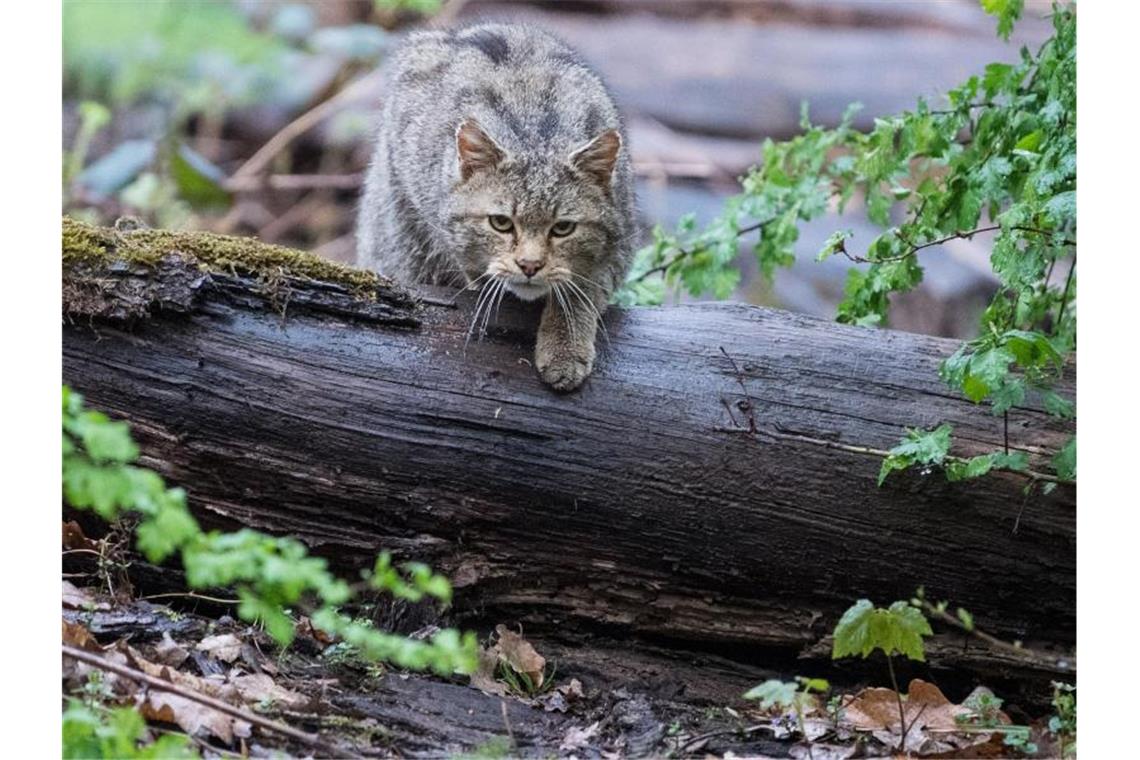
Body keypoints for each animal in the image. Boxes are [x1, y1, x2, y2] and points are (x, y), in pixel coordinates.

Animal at [355, 23, 638, 391]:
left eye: (563, 228)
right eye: (501, 223)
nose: (530, 265)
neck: (536, 133)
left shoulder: (622, 243)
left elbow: (582, 291)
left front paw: (564, 348)